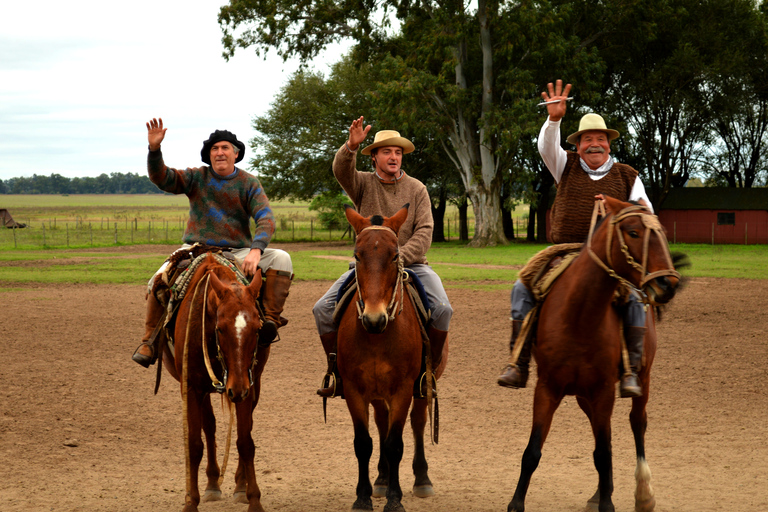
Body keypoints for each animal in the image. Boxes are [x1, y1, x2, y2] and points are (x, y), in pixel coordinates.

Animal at [159, 255, 270, 512]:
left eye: (257, 328)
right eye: (220, 328)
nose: (236, 389)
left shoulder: (247, 386)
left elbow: (245, 442)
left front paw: (253, 499)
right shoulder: (191, 388)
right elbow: (194, 444)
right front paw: (191, 501)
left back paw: (239, 486)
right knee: (209, 427)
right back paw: (211, 484)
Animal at [340, 204, 448, 512]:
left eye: (395, 255)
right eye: (357, 255)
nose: (373, 318)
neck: (378, 335)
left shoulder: (403, 390)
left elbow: (395, 444)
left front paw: (395, 498)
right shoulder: (354, 390)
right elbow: (364, 442)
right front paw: (363, 496)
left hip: (422, 389)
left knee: (417, 423)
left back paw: (421, 479)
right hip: (377, 394)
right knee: (381, 423)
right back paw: (381, 478)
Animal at [510, 196, 680, 512]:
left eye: (662, 233)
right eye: (633, 232)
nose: (668, 284)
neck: (579, 315)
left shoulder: (603, 390)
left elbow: (603, 453)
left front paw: (608, 504)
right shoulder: (548, 388)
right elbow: (533, 451)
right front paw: (515, 503)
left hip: (642, 379)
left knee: (637, 423)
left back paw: (643, 493)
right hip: (582, 395)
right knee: (606, 437)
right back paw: (601, 491)